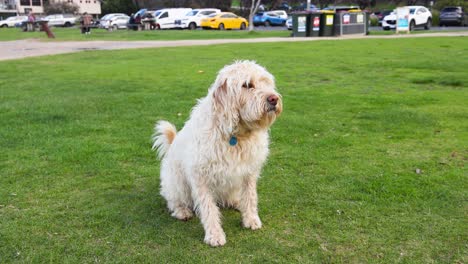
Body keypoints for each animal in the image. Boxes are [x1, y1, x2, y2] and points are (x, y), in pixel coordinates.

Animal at [152, 60, 282, 246]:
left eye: (267, 83)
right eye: (247, 85)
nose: (274, 99)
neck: (236, 135)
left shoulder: (249, 171)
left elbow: (250, 196)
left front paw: (250, 219)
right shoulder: (200, 176)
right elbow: (208, 207)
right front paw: (214, 234)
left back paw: (236, 202)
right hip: (177, 183)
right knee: (174, 200)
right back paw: (182, 211)